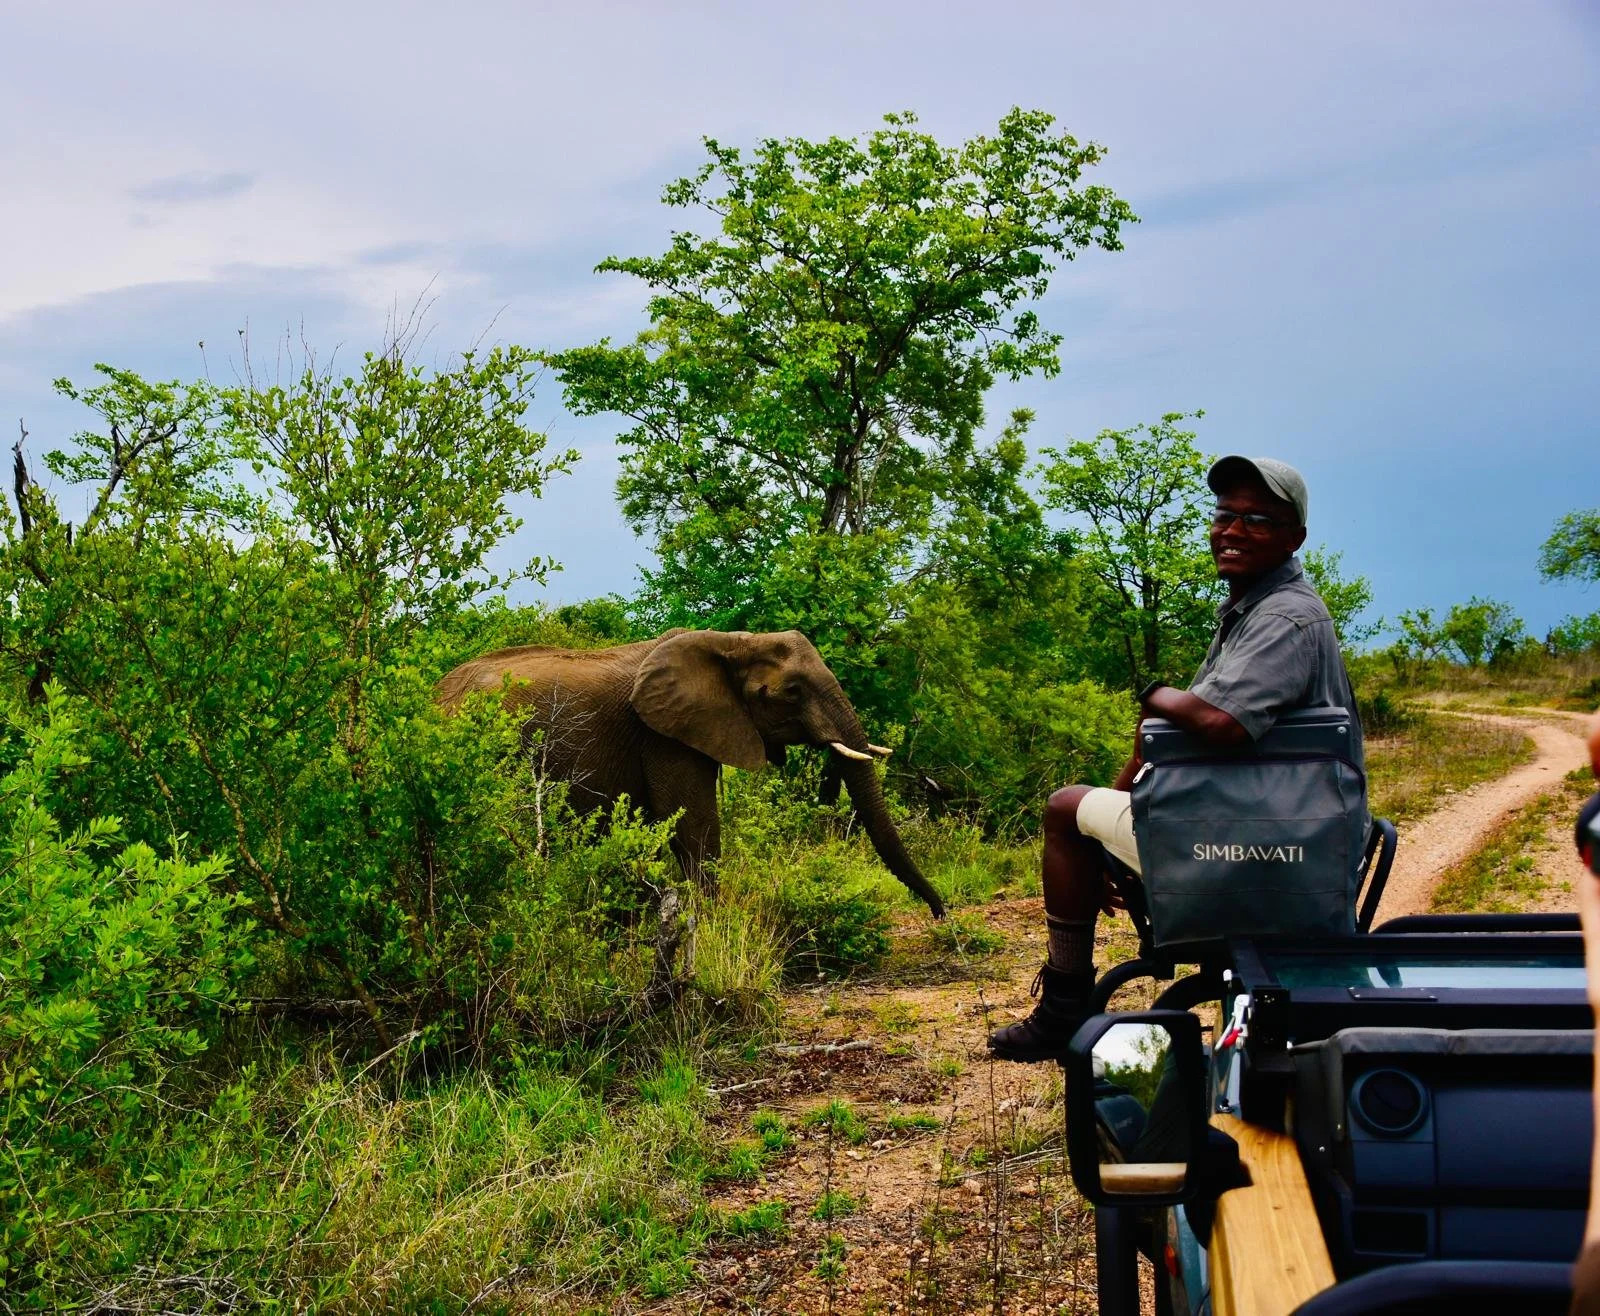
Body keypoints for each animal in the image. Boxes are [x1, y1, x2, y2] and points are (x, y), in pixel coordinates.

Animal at [436, 628, 945, 917]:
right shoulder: (663, 734)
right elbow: (693, 823)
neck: (729, 640)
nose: (940, 911)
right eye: (792, 692)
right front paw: (714, 925)